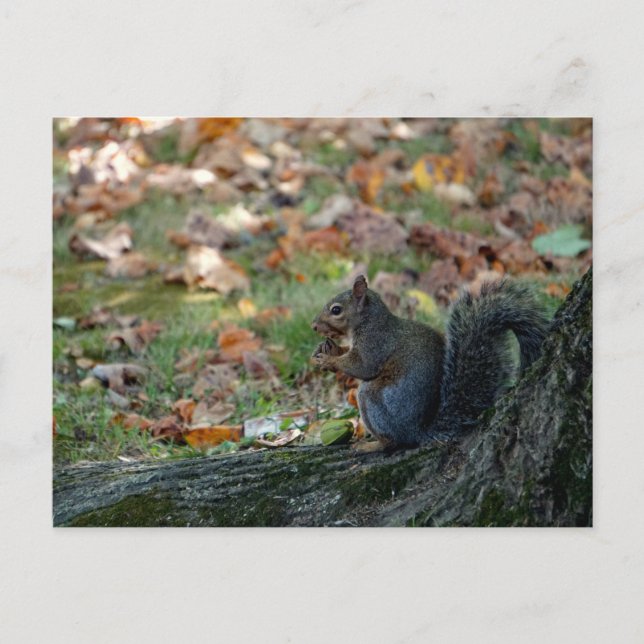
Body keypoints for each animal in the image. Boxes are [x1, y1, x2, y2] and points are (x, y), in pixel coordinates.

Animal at [311, 274, 548, 448]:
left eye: (336, 310)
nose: (314, 326)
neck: (369, 321)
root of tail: (419, 431)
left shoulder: (376, 342)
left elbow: (362, 366)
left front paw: (329, 360)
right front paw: (330, 349)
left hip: (373, 399)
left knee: (396, 442)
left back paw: (373, 445)